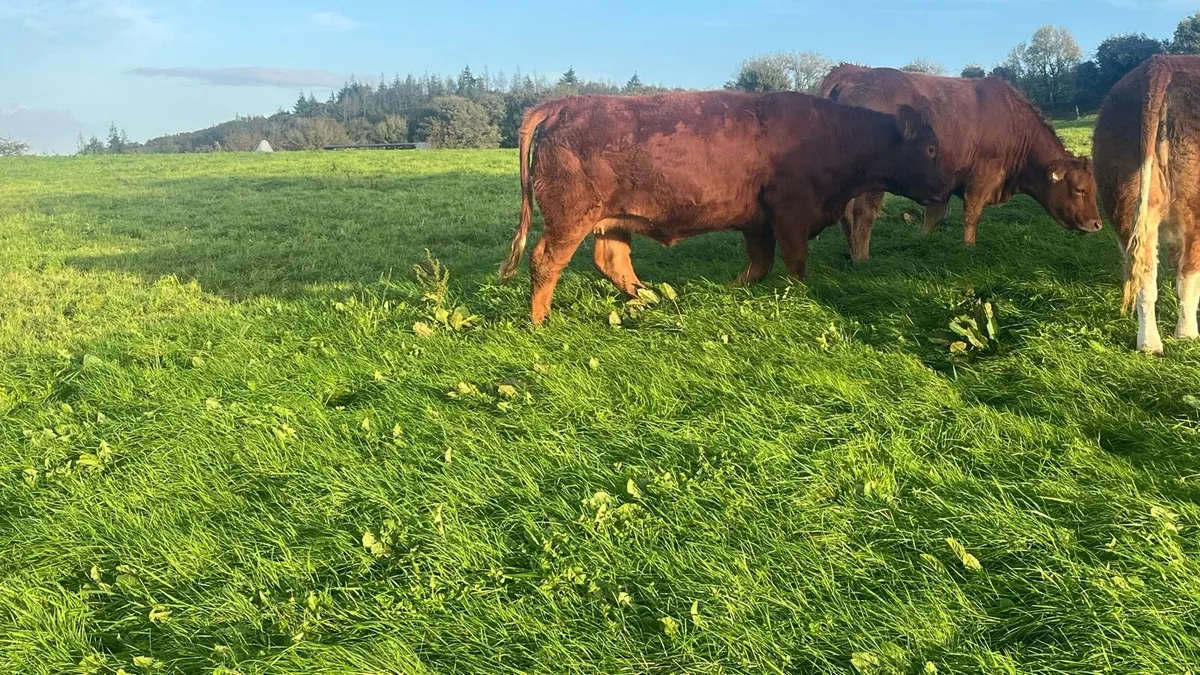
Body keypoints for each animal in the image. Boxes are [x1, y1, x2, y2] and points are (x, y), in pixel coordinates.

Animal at [497, 90, 949, 324]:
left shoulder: (759, 224)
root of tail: (568, 103)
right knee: (546, 261)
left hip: (612, 219)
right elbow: (795, 263)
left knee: (612, 260)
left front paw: (729, 290)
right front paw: (800, 296)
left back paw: (653, 298)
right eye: (929, 148)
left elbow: (759, 265)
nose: (946, 189)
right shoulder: (790, 214)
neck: (837, 134)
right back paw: (539, 322)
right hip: (571, 218)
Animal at [818, 65, 1102, 263]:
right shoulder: (982, 176)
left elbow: (934, 216)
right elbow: (971, 214)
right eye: (1079, 189)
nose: (1097, 224)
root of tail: (853, 72)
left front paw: (923, 242)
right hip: (872, 184)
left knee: (844, 214)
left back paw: (852, 252)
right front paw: (969, 247)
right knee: (863, 214)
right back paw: (862, 259)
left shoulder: (943, 183)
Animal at [1093, 54, 1200, 354]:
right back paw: (1186, 335)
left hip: (1124, 204)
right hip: (1193, 207)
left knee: (1144, 275)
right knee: (1188, 274)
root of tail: (1161, 63)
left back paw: (1148, 345)